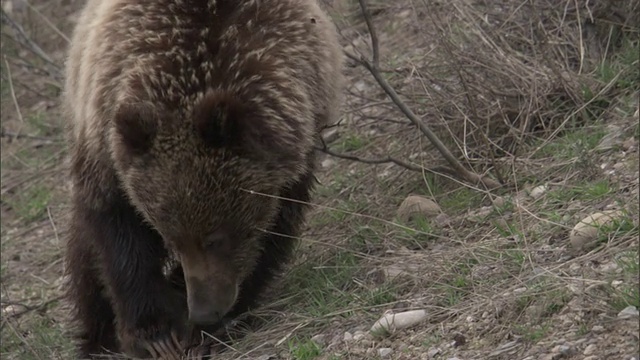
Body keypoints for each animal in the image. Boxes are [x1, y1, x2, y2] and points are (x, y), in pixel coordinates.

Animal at [63, 0, 344, 358]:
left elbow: (273, 231)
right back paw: (97, 337)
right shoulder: (106, 135)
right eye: (172, 238)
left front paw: (207, 328)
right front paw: (156, 335)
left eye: (216, 238)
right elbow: (117, 233)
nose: (203, 311)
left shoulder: (293, 157)